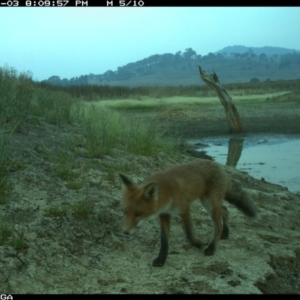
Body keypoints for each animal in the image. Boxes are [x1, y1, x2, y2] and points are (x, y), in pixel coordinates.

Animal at [119, 159, 258, 268]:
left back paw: (212, 248)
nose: (125, 232)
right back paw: (226, 232)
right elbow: (164, 241)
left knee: (218, 225)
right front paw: (161, 259)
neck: (166, 194)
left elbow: (189, 233)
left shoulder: (184, 208)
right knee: (225, 210)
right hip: (207, 202)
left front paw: (198, 244)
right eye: (124, 211)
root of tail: (221, 167)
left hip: (209, 205)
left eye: (138, 213)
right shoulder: (164, 215)